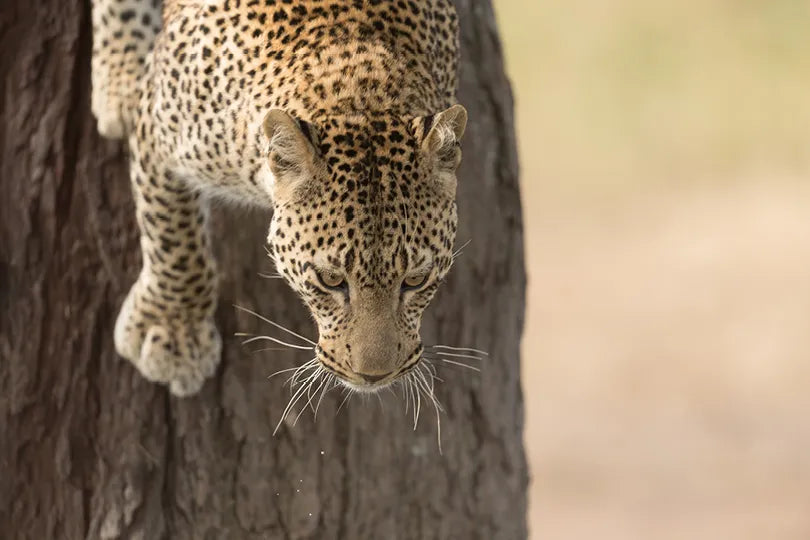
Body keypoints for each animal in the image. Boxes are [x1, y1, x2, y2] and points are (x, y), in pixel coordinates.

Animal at [91, 0, 468, 398]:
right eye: (330, 280)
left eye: (416, 280)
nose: (374, 376)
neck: (361, 94)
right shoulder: (158, 126)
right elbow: (172, 236)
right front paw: (173, 331)